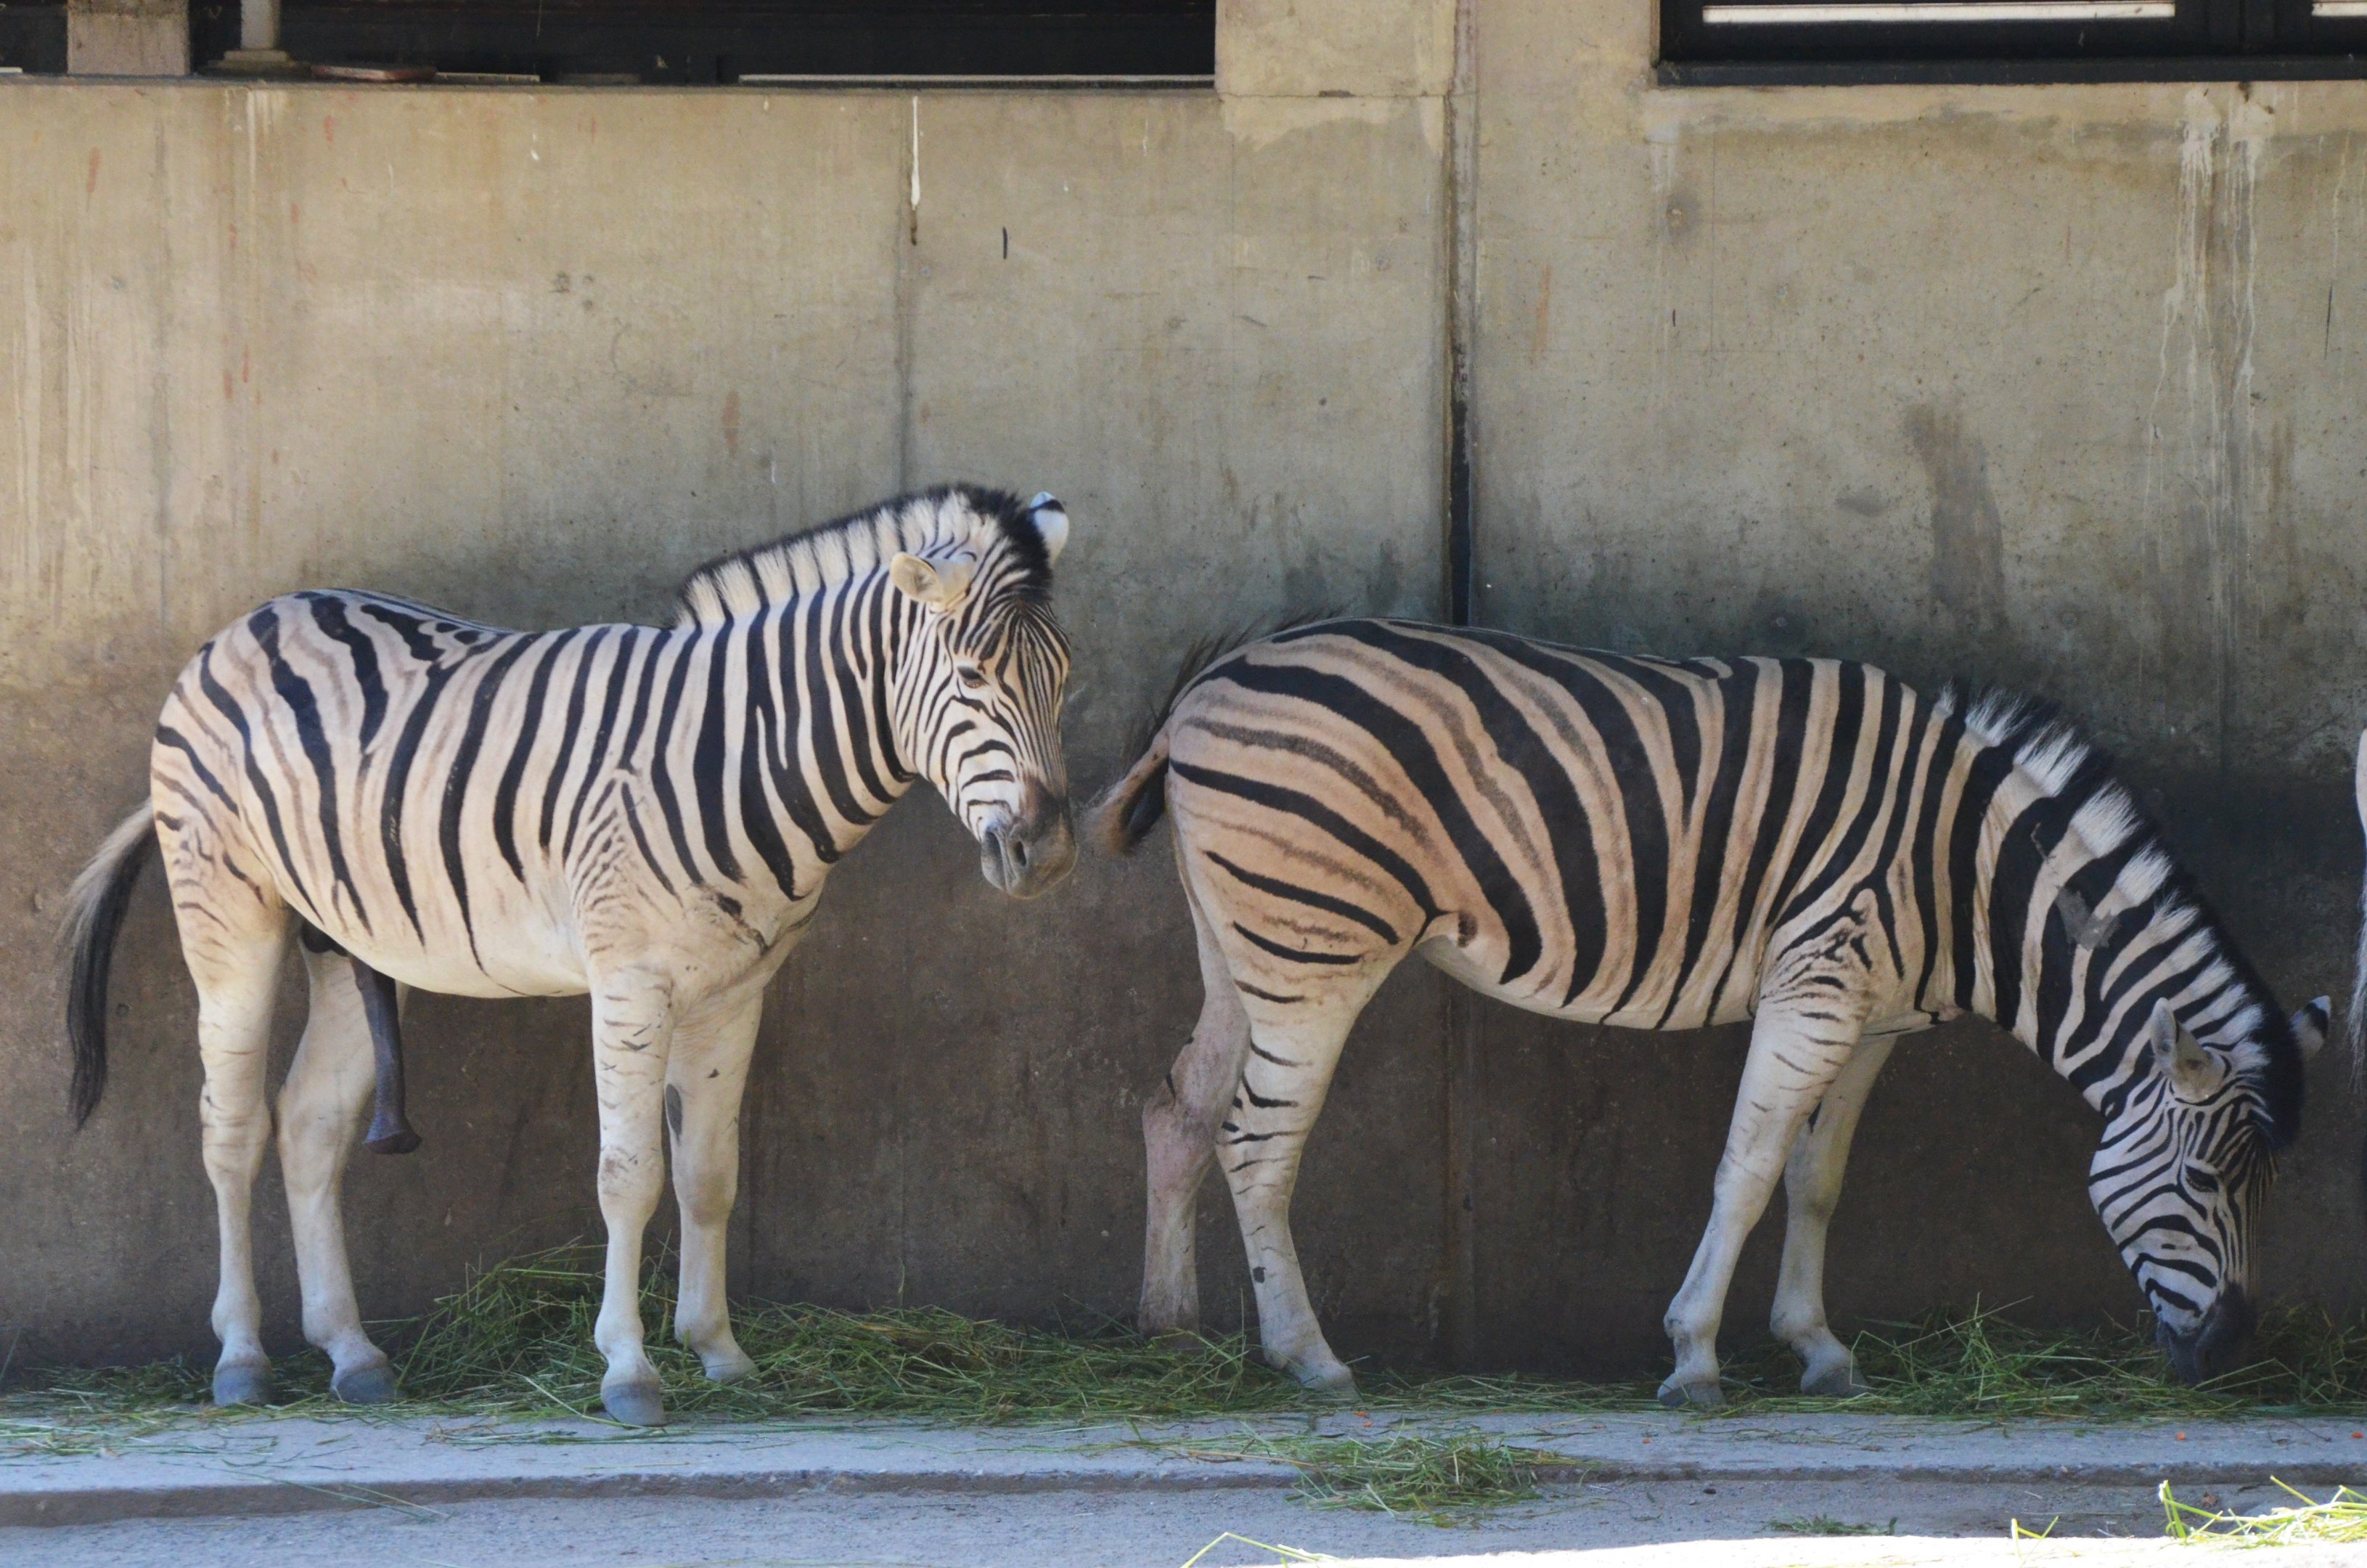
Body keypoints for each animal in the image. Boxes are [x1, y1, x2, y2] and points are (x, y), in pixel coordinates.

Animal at [63, 484, 1076, 1426]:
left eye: (1063, 680)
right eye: (973, 676)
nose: (1052, 856)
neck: (742, 756)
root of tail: (254, 619)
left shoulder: (735, 990)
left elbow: (709, 1175)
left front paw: (721, 1353)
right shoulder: (629, 980)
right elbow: (630, 1176)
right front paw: (628, 1369)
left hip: (343, 935)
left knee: (309, 1121)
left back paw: (353, 1354)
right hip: (229, 910)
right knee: (231, 1128)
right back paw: (241, 1358)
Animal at [1091, 618, 2324, 1406]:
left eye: (2265, 1188)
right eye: (2206, 1182)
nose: (2230, 1354)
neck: (1968, 882)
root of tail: (1211, 678)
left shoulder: (1871, 1019)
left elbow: (1816, 1179)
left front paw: (1818, 1350)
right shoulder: (1816, 983)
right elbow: (1747, 1168)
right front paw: (1693, 1358)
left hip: (1241, 943)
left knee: (1177, 1109)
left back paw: (1169, 1329)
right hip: (1318, 948)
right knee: (1257, 1142)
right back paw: (1309, 1360)